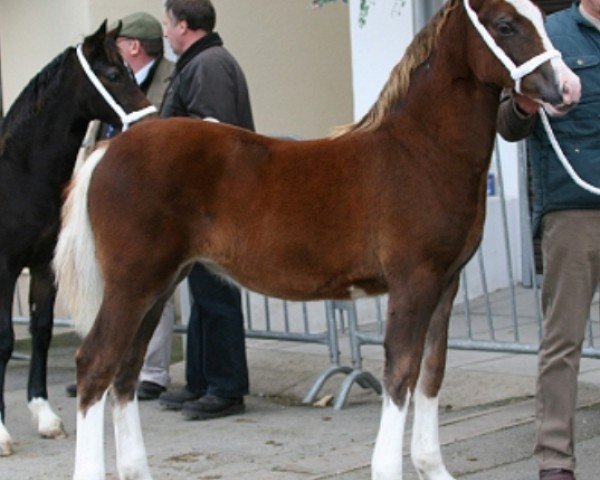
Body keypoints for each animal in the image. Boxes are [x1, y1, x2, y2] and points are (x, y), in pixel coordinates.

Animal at [0, 20, 152, 456]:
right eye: (114, 74)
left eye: (132, 71)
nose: (148, 122)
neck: (19, 176)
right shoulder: (5, 267)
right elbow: (5, 339)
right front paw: (1, 433)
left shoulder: (43, 266)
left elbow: (42, 332)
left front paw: (45, 415)